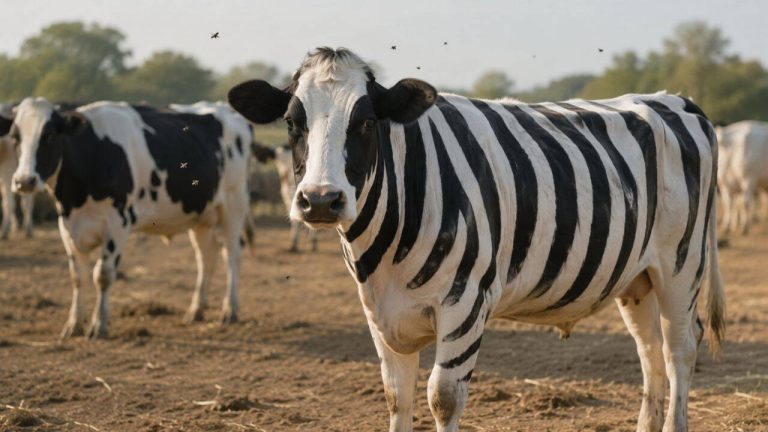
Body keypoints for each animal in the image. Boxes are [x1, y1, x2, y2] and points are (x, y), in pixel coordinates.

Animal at [11, 97, 252, 339]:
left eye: (49, 135)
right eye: (15, 137)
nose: (24, 181)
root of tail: (224, 107)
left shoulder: (117, 223)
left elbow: (103, 275)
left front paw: (99, 325)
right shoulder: (67, 227)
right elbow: (77, 277)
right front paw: (73, 324)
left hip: (234, 203)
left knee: (232, 254)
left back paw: (229, 310)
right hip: (200, 214)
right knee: (206, 257)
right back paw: (196, 310)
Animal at [228, 47, 725, 432]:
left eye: (366, 122)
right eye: (291, 123)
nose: (320, 200)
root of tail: (674, 100)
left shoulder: (466, 303)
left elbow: (442, 397)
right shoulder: (378, 311)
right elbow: (396, 395)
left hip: (681, 266)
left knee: (680, 347)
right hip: (636, 278)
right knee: (649, 350)